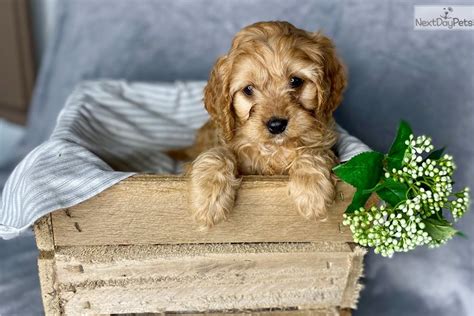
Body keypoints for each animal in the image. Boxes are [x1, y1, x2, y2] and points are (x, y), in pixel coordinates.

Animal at [183, 21, 346, 227]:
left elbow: (314, 151)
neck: (274, 149)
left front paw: (312, 190)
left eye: (296, 81)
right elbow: (218, 153)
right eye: (248, 89)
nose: (276, 125)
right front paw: (209, 197)